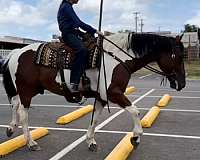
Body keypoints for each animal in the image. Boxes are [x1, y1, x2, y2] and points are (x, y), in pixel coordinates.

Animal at [0, 32, 185, 151]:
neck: (116, 58)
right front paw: (136, 137)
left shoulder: (101, 97)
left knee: (15, 104)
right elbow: (135, 111)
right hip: (26, 90)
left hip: (28, 90)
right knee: (23, 113)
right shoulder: (113, 93)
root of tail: (17, 51)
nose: (182, 83)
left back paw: (11, 128)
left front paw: (90, 141)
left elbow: (95, 119)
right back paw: (31, 143)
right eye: (179, 56)